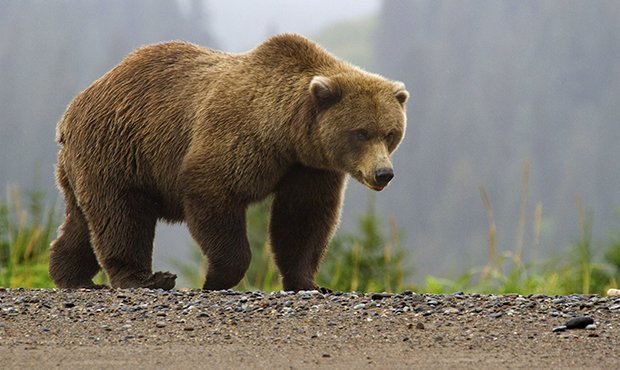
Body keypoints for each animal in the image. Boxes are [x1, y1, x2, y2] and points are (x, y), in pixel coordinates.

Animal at [50, 33, 410, 290]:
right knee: (121, 215)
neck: (287, 135)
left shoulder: (309, 167)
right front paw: (215, 278)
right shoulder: (239, 137)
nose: (383, 173)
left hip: (88, 164)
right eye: (361, 132)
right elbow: (213, 191)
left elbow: (303, 218)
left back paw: (71, 276)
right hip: (119, 149)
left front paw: (309, 282)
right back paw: (145, 279)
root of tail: (72, 109)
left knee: (83, 221)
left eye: (390, 133)